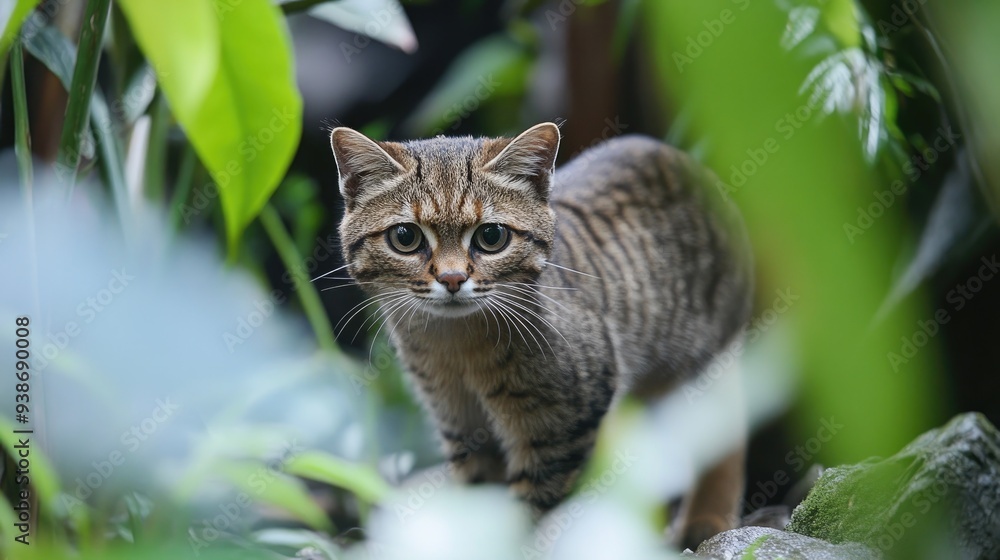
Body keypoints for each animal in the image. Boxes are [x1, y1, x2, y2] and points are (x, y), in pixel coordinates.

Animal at [332, 122, 752, 548]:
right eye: (405, 236)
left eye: (491, 236)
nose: (452, 278)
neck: (456, 347)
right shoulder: (462, 429)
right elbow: (482, 503)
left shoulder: (563, 428)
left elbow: (527, 512)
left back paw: (707, 520)